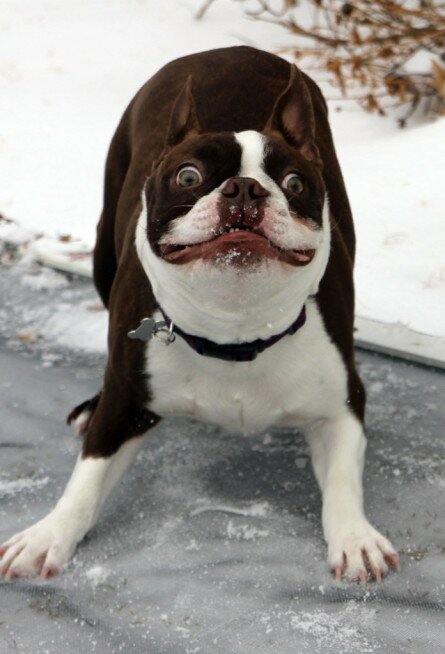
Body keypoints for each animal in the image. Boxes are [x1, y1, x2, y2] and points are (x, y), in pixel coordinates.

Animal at [0, 48, 398, 588]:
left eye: (294, 183)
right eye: (188, 177)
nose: (245, 188)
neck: (235, 332)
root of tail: (231, 51)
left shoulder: (342, 401)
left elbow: (342, 480)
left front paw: (356, 539)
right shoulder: (126, 403)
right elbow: (87, 479)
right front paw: (48, 535)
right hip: (104, 254)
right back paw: (88, 406)